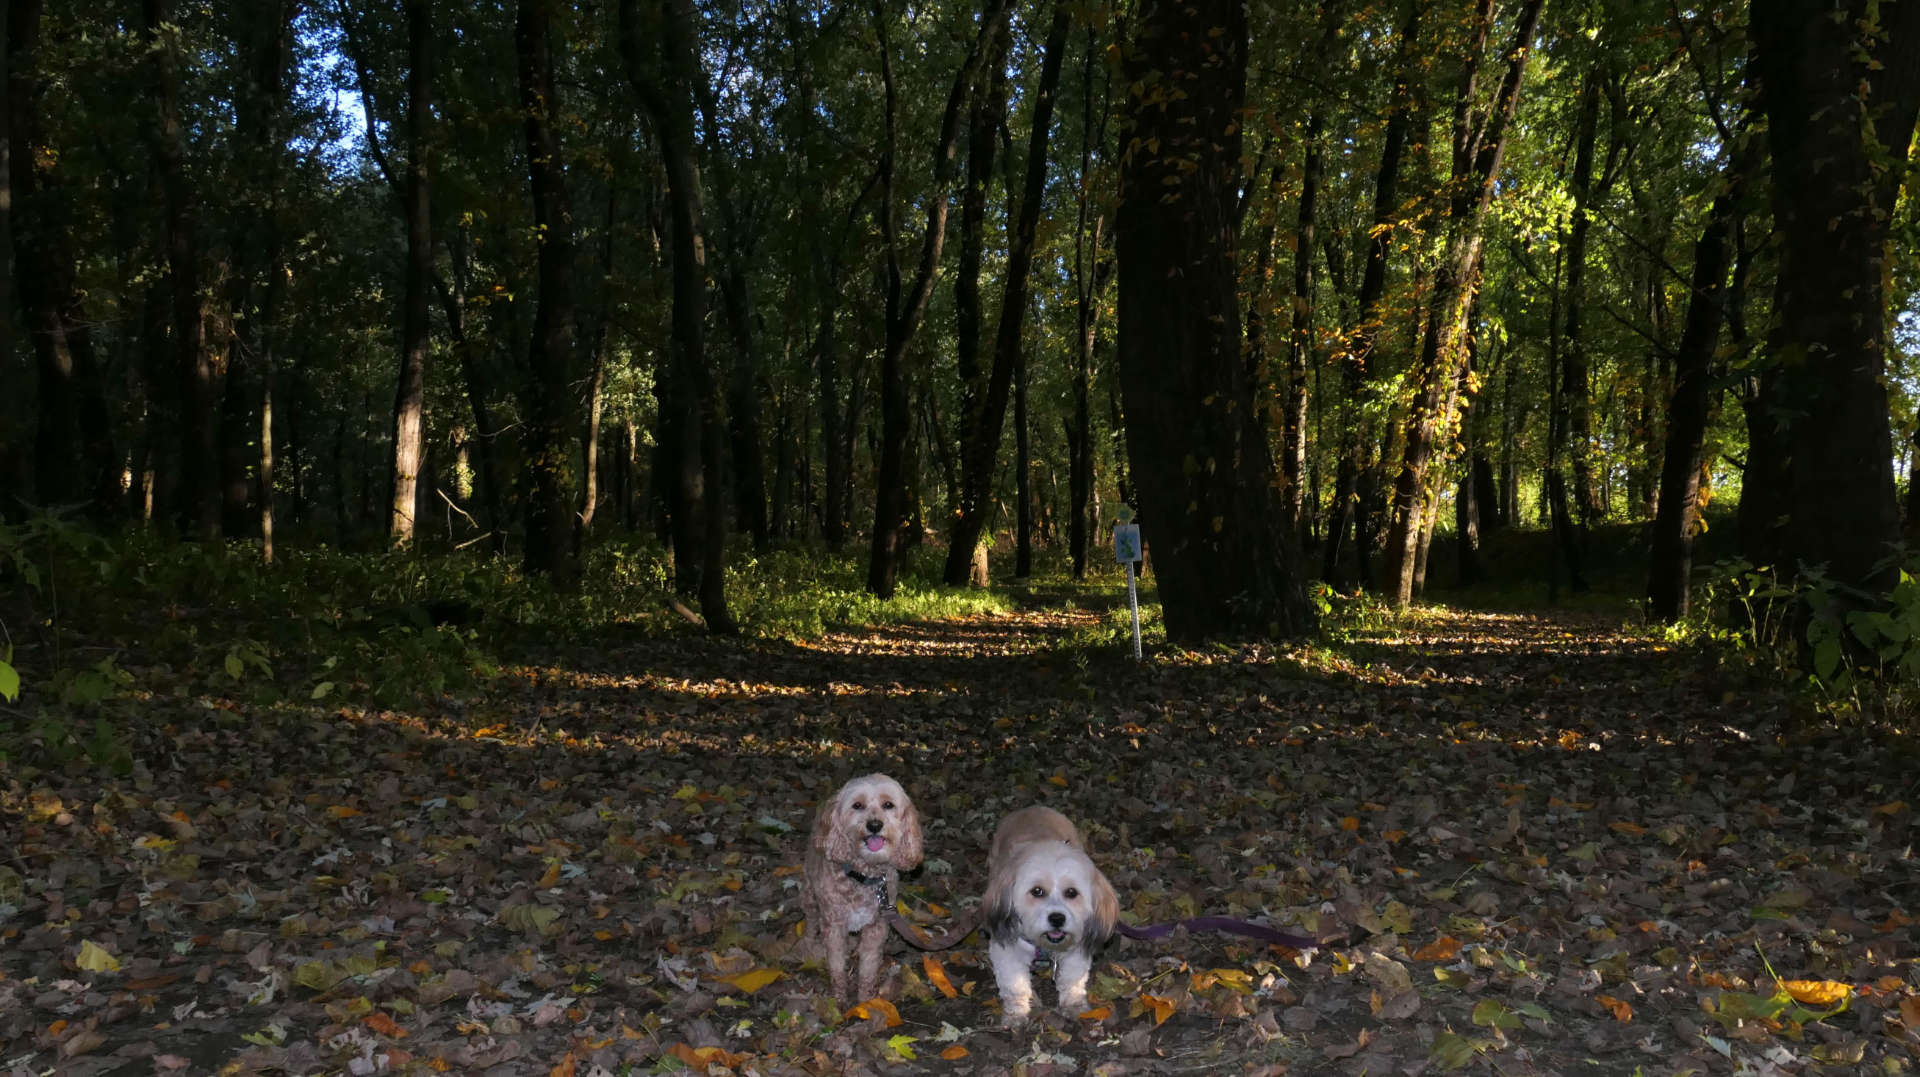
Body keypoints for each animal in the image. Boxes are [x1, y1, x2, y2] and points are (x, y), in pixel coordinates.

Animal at [802, 771, 921, 998]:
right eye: (857, 805)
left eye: (888, 804)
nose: (874, 825)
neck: (863, 876)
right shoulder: (834, 926)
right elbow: (836, 965)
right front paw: (839, 998)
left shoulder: (877, 926)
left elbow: (868, 968)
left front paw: (865, 999)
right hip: (810, 895)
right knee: (811, 922)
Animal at [983, 806, 1121, 1021]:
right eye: (1037, 891)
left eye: (1071, 892)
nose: (1057, 918)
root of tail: (1032, 808)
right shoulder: (1006, 950)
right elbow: (1015, 986)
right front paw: (1016, 1013)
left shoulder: (1076, 948)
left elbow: (1072, 979)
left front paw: (1073, 1004)